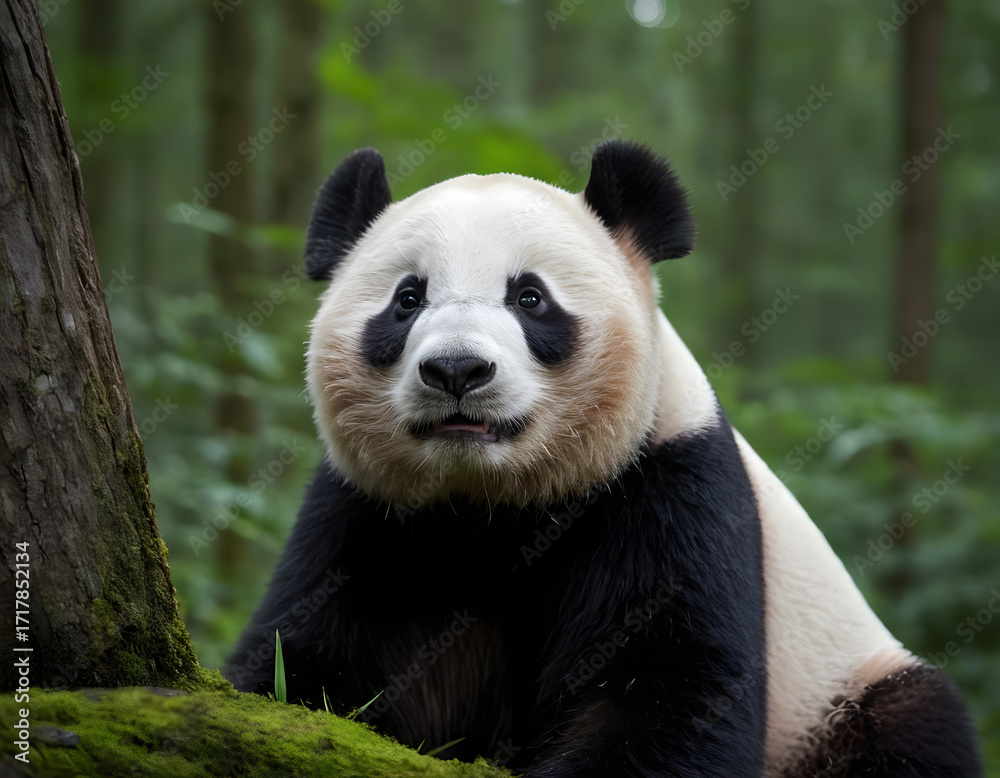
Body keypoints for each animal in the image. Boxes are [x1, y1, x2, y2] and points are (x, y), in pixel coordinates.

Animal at [228, 141, 981, 777]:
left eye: (530, 297)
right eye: (407, 300)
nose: (457, 370)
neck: (492, 507)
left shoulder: (667, 484)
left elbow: (673, 692)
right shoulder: (369, 515)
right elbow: (302, 656)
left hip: (835, 692)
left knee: (912, 728)